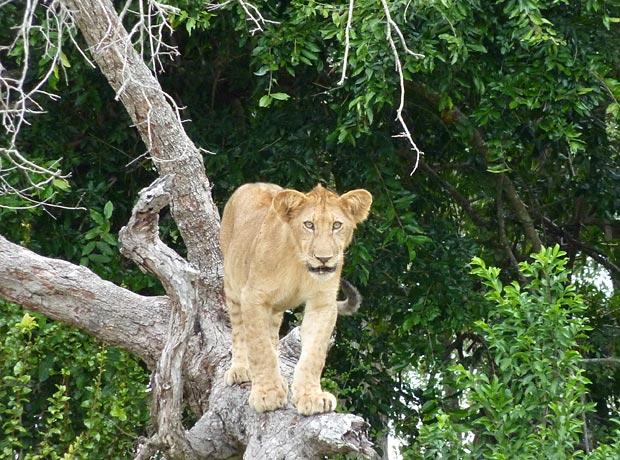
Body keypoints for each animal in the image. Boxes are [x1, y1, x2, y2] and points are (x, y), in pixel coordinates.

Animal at [220, 183, 370, 416]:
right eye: (309, 225)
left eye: (336, 225)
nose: (324, 259)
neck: (300, 264)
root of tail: (252, 184)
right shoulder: (253, 297)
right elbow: (259, 348)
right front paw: (267, 394)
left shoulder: (322, 302)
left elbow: (314, 354)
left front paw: (312, 397)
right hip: (233, 286)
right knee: (239, 330)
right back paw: (240, 370)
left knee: (272, 334)